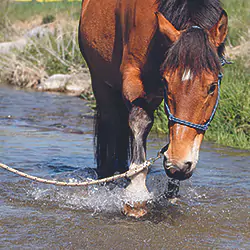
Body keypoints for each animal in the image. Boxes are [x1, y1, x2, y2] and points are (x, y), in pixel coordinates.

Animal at [78, 0, 229, 217]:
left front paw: (172, 190)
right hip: (101, 84)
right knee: (111, 124)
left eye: (212, 87)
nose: (179, 164)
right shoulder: (132, 80)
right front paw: (136, 194)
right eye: (166, 82)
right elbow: (140, 121)